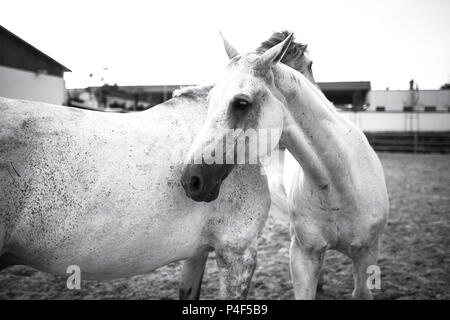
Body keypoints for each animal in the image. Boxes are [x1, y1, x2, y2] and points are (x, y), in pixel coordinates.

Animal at [181, 33, 388, 298]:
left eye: (241, 103)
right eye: (209, 100)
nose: (191, 180)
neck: (340, 186)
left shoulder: (366, 256)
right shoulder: (303, 256)